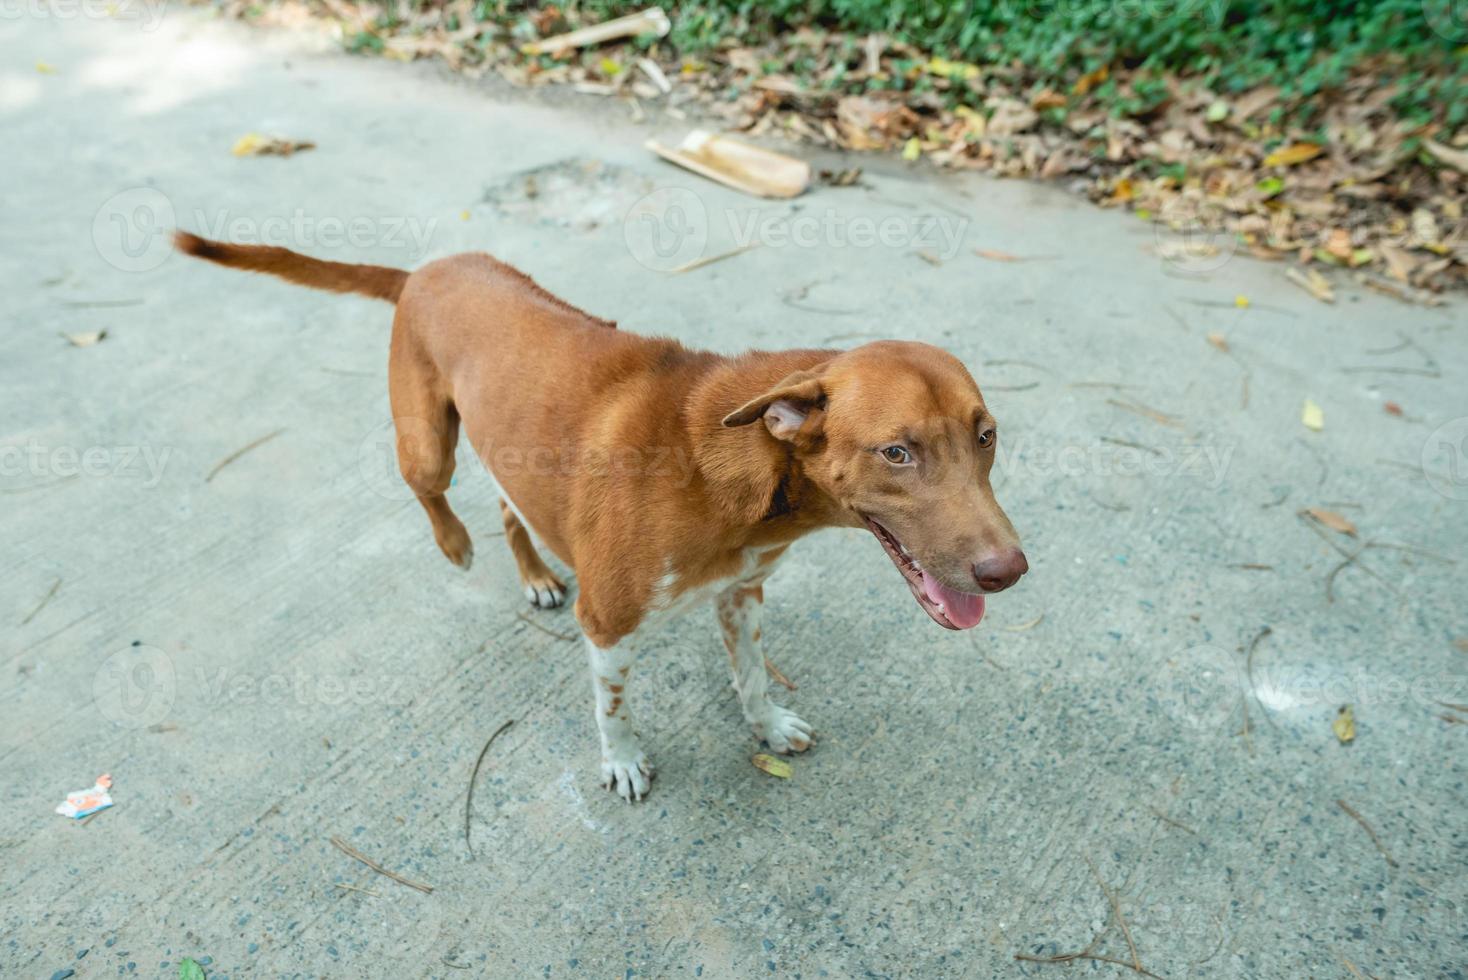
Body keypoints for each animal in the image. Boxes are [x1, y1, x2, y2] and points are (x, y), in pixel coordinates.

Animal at [177, 233, 1027, 798]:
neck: (731, 474)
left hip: (512, 453)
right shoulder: (610, 623)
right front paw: (621, 762)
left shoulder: (741, 595)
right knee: (429, 487)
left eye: (986, 435)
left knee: (509, 506)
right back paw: (454, 543)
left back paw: (533, 571)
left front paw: (769, 725)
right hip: (427, 444)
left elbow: (751, 676)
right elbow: (612, 707)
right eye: (897, 453)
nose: (1009, 571)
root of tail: (427, 266)